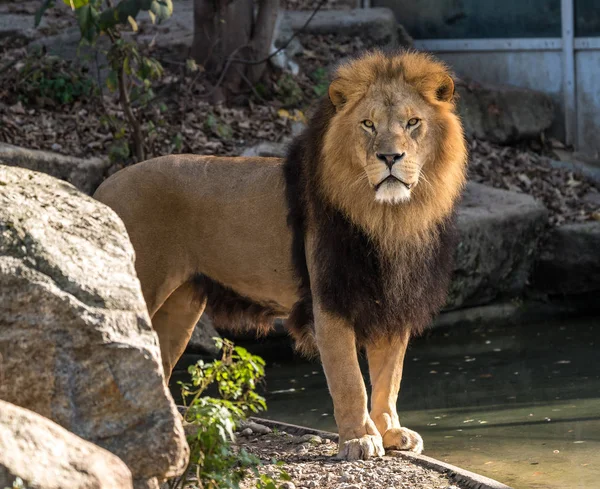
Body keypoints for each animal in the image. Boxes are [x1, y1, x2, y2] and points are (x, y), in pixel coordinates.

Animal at [95, 50, 468, 462]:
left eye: (413, 122)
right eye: (368, 124)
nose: (389, 156)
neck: (390, 218)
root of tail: (104, 186)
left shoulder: (392, 300)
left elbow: (390, 376)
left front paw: (389, 432)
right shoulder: (330, 299)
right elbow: (349, 378)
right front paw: (358, 439)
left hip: (180, 307)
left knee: (156, 363)